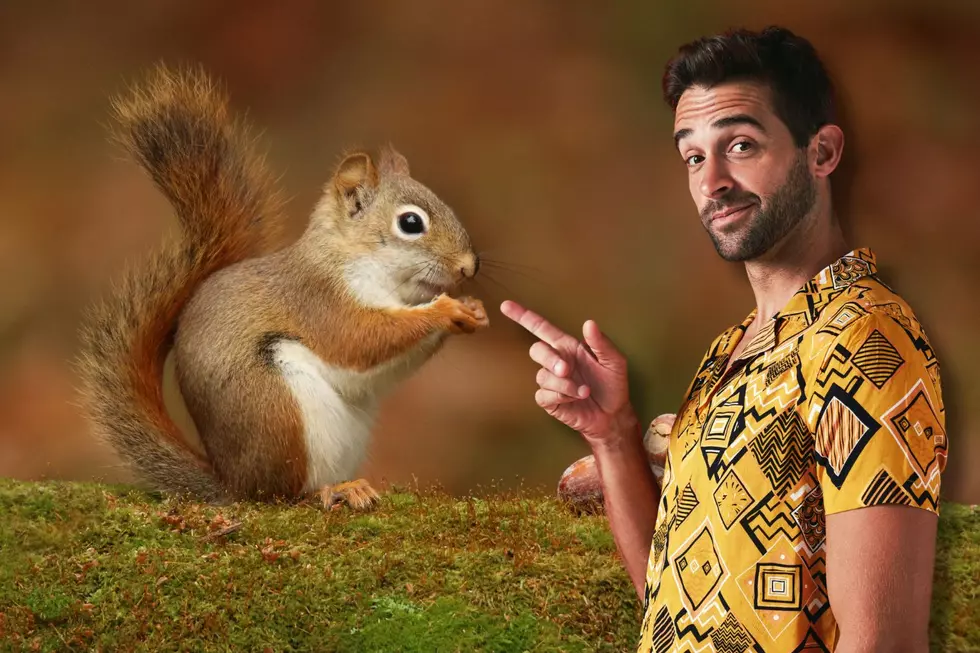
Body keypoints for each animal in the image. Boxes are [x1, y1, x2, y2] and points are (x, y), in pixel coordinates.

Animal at [74, 65, 489, 510]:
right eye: (411, 223)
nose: (469, 267)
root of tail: (233, 484)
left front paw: (473, 310)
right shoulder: (319, 300)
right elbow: (360, 340)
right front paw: (445, 310)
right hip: (277, 408)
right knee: (281, 494)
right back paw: (332, 491)